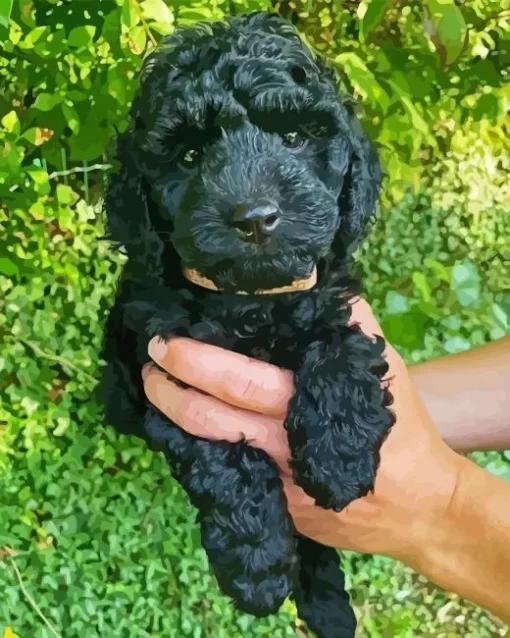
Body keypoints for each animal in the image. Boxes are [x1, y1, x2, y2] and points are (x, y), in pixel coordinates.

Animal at [99, 11, 394, 638]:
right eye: (189, 157)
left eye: (295, 139)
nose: (255, 218)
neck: (251, 301)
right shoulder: (174, 368)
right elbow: (225, 459)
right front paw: (257, 563)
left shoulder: (328, 296)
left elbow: (345, 349)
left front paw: (340, 456)